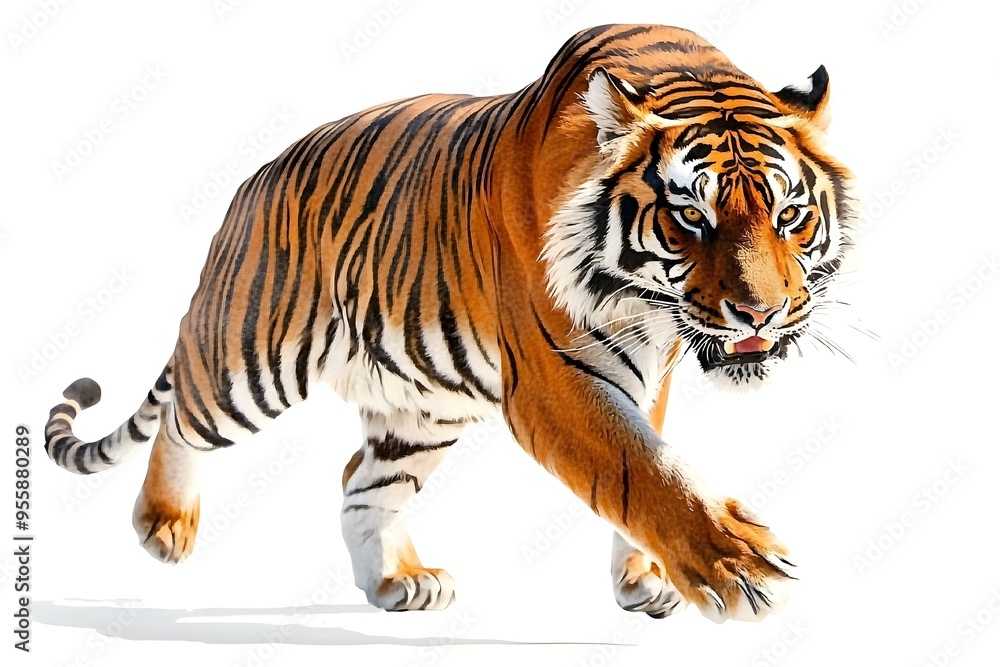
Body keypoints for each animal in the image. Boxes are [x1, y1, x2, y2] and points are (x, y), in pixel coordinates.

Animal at [45, 24, 854, 622]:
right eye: (691, 217)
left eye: (790, 215)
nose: (760, 311)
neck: (646, 307)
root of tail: (253, 182)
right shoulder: (556, 379)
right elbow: (643, 469)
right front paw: (738, 567)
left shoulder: (647, 368)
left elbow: (651, 457)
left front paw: (644, 578)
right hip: (250, 360)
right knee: (183, 415)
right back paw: (163, 524)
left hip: (423, 406)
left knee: (361, 477)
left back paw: (396, 581)